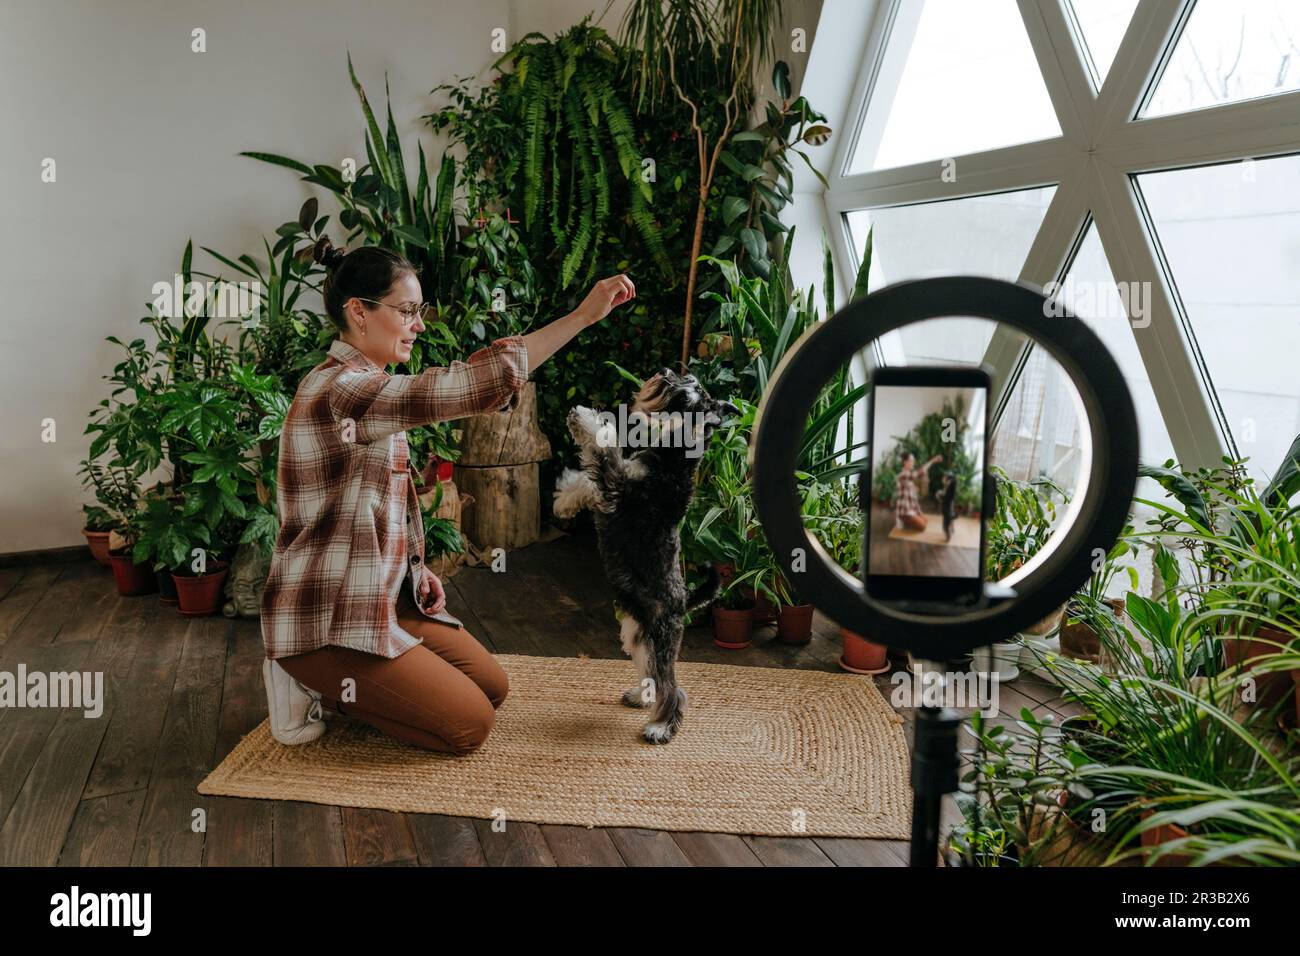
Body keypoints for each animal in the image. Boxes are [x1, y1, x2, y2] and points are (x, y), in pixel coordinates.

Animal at [551, 369, 743, 743]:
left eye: (690, 394)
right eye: (689, 378)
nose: (666, 374)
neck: (676, 457)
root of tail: (684, 601)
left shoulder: (619, 487)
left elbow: (604, 449)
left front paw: (583, 418)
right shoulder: (617, 484)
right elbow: (588, 479)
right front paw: (564, 502)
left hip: (660, 638)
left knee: (672, 688)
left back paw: (660, 727)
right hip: (638, 634)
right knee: (651, 674)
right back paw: (641, 698)